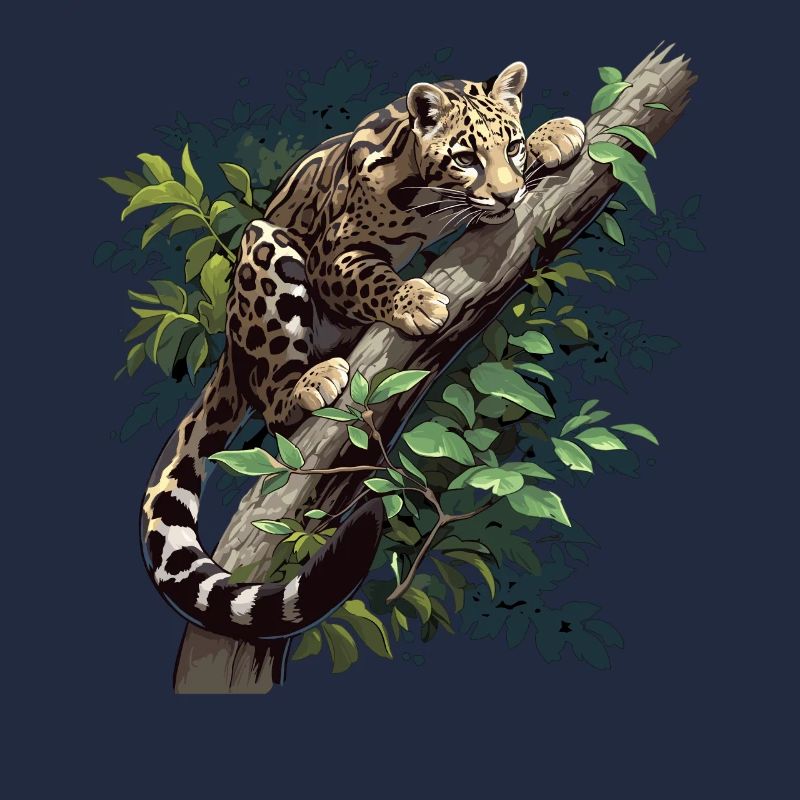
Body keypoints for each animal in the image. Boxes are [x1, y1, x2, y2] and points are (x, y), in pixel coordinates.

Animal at [140, 62, 585, 650]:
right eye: (465, 157)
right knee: (272, 402)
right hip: (267, 251)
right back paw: (312, 382)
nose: (510, 198)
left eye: (509, 146)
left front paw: (554, 133)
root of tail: (229, 352)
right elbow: (372, 277)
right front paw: (416, 302)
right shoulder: (333, 257)